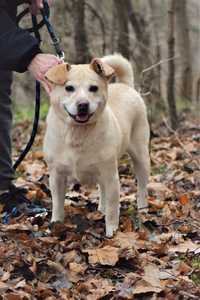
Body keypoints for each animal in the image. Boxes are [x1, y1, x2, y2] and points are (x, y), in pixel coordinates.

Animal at [43, 54, 150, 237]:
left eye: (93, 88)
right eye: (69, 88)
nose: (83, 105)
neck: (77, 132)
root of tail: (126, 86)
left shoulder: (111, 177)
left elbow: (113, 209)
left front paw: (112, 232)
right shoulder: (56, 176)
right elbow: (57, 204)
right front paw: (56, 224)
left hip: (140, 156)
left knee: (142, 185)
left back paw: (142, 209)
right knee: (103, 191)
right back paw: (101, 209)